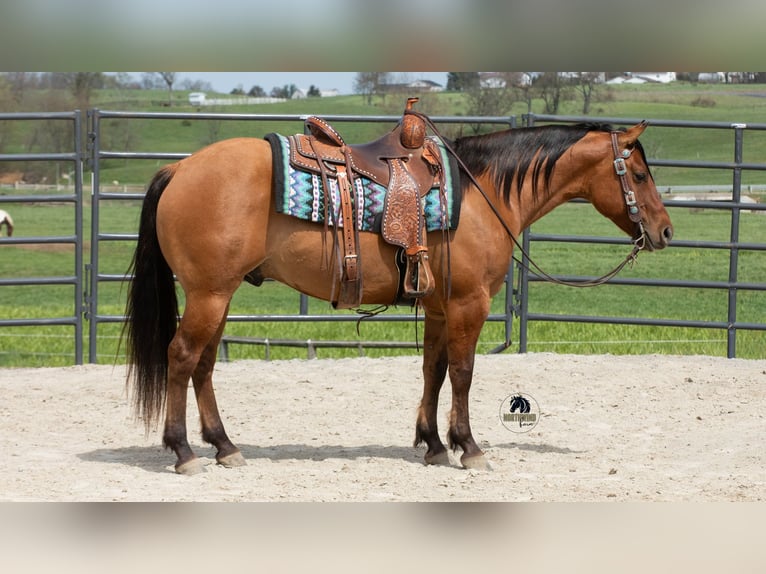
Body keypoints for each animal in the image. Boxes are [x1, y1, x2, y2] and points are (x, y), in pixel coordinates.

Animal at [124, 119, 673, 474]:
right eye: (638, 175)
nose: (666, 232)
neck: (483, 192)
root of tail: (179, 170)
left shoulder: (439, 306)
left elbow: (433, 369)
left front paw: (432, 444)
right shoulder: (469, 303)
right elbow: (463, 372)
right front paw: (468, 447)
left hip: (219, 294)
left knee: (203, 364)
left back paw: (224, 446)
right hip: (209, 294)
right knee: (181, 357)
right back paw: (183, 452)